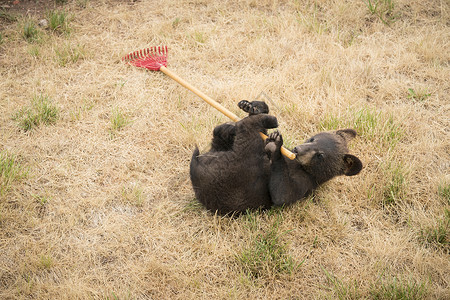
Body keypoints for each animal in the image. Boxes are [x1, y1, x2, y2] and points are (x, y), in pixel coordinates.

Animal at [189, 101, 362, 216]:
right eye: (313, 139)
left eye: (320, 155)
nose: (297, 150)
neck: (301, 166)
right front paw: (253, 108)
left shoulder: (305, 184)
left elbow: (282, 194)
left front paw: (276, 145)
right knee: (221, 134)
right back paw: (248, 112)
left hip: (237, 168)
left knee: (246, 130)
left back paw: (264, 119)